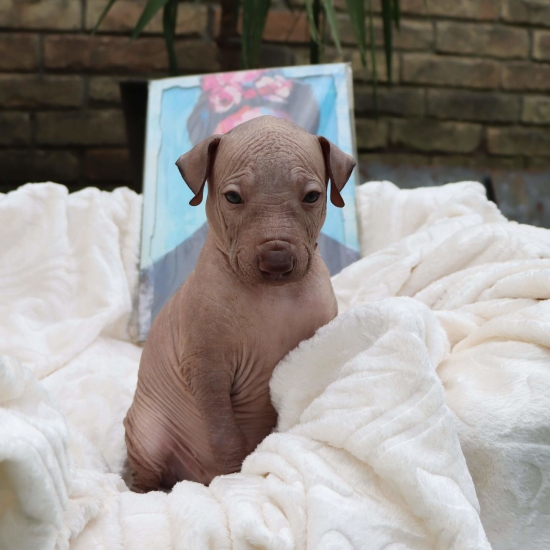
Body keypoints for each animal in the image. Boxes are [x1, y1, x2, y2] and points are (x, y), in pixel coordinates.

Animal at [124, 115, 358, 492]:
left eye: (312, 196)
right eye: (233, 197)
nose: (277, 260)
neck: (274, 295)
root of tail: (193, 476)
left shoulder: (315, 341)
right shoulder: (207, 370)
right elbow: (224, 434)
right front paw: (236, 476)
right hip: (148, 433)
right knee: (147, 470)